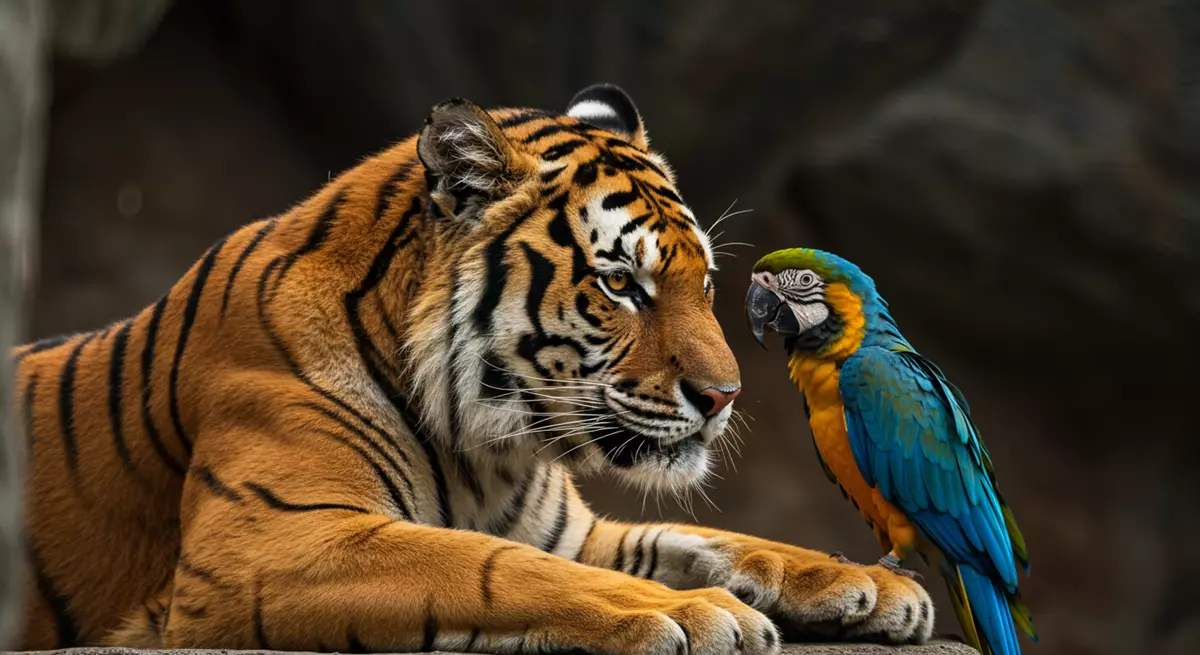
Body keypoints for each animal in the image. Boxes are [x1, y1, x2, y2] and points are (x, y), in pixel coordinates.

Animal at [10, 84, 934, 654]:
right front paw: (701, 613)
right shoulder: (265, 544)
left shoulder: (577, 530)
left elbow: (713, 537)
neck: (490, 446)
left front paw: (866, 582)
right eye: (620, 283)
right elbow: (490, 566)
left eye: (702, 281)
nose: (724, 396)